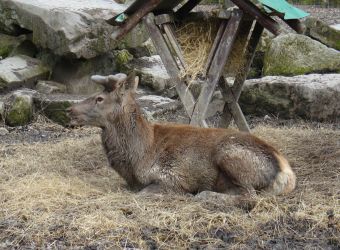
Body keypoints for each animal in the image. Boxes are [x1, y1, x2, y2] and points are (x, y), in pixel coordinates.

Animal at [66, 72, 294, 203]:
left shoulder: (171, 177)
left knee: (250, 196)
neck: (137, 158)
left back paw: (203, 195)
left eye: (99, 98)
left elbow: (144, 193)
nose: (69, 110)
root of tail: (286, 172)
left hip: (230, 154)